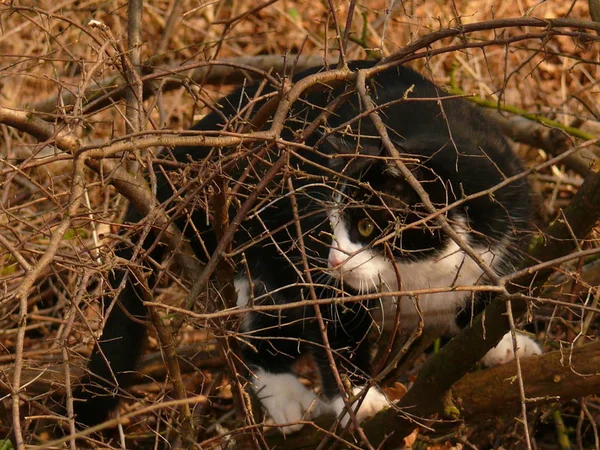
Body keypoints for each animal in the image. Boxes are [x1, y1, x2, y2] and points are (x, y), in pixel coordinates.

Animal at [72, 59, 540, 432]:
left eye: (366, 225)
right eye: (323, 229)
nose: (332, 260)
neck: (422, 271)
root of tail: (185, 151)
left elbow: (488, 293)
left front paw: (504, 341)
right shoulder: (322, 281)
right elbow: (334, 332)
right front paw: (363, 401)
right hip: (257, 242)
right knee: (264, 320)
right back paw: (285, 398)